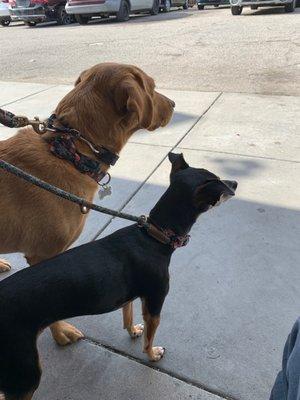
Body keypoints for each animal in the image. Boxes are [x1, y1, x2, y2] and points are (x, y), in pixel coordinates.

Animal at [0, 152, 237, 398]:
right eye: (217, 181)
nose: (235, 184)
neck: (154, 236)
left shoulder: (130, 296)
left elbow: (128, 316)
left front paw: (133, 331)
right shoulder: (154, 303)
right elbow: (149, 338)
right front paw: (152, 354)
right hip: (24, 374)